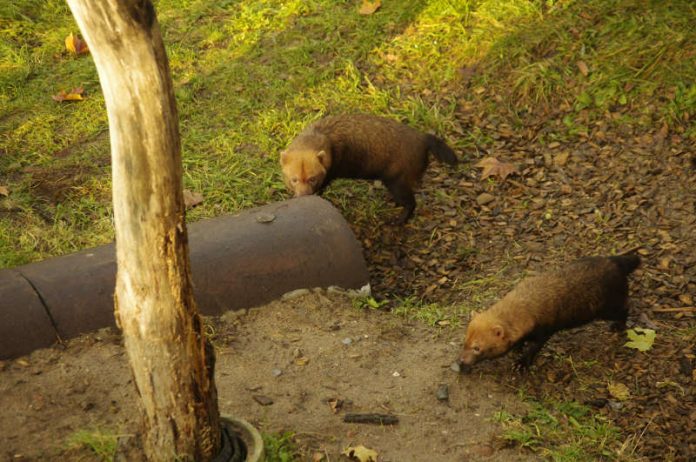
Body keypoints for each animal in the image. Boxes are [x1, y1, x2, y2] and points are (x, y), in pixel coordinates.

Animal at [280, 114, 460, 225]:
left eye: (313, 178)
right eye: (294, 179)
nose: (303, 195)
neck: (323, 133)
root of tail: (422, 138)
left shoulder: (329, 174)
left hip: (396, 181)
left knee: (411, 202)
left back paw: (398, 220)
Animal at [456, 254, 640, 374]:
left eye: (477, 348)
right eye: (465, 341)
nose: (461, 360)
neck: (528, 304)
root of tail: (616, 261)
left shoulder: (545, 330)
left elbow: (534, 348)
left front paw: (521, 363)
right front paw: (517, 349)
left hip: (607, 308)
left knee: (625, 308)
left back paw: (618, 326)